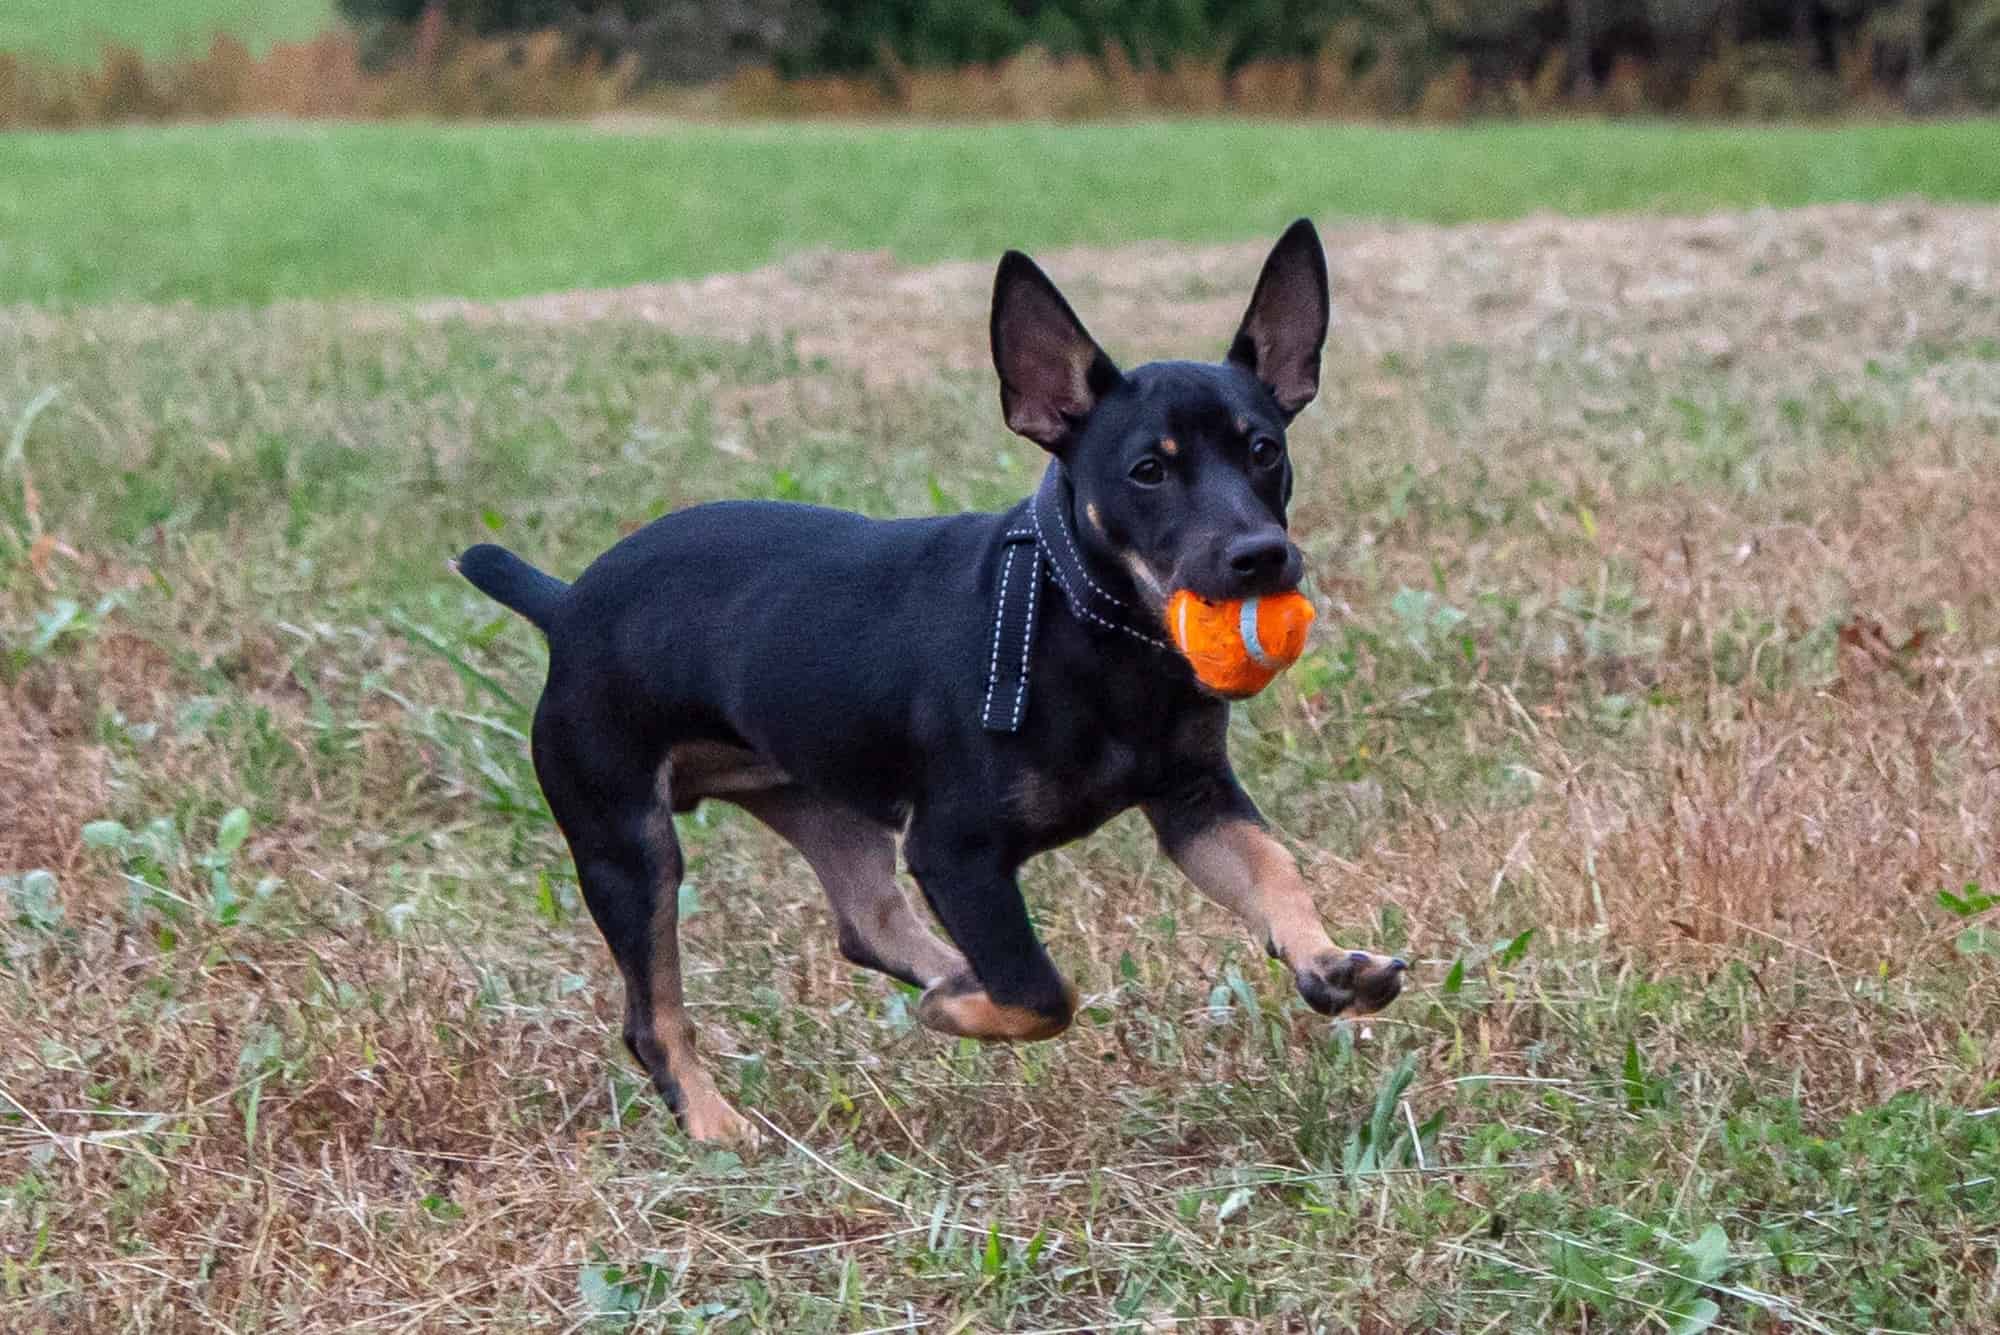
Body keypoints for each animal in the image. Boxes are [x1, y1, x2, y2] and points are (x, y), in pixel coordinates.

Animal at [460, 221, 1408, 1151]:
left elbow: (1275, 868)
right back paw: (721, 1121)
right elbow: (1041, 989)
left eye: (1265, 451)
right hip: (626, 838)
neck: (1088, 626)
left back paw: (946, 974)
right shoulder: (956, 851)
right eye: (1149, 470)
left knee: (866, 921)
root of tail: (565, 607)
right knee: (653, 1013)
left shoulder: (1195, 801)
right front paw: (961, 1009)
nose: (1262, 556)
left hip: (819, 803)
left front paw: (1329, 961)